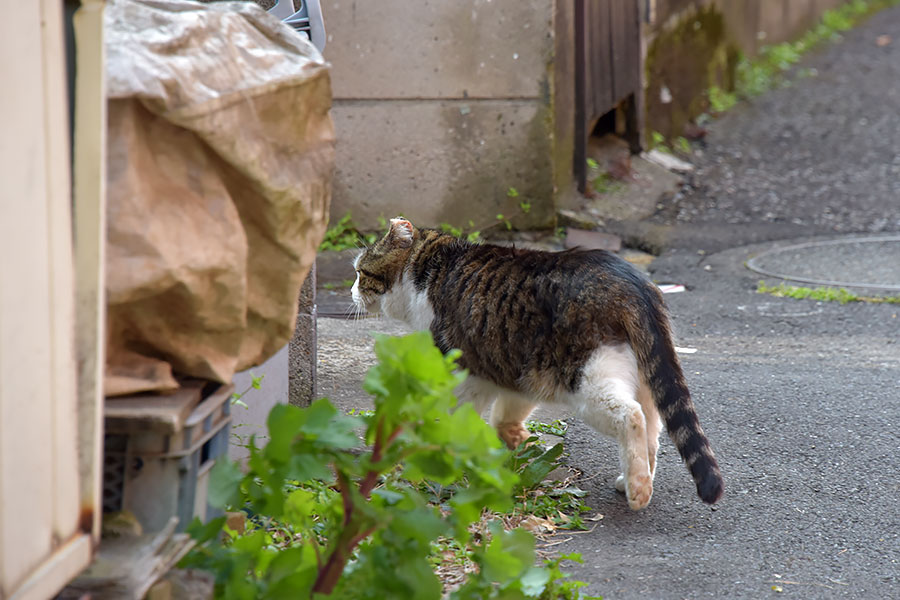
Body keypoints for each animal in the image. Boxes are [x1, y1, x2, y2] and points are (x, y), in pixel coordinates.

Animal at [352, 218, 724, 508]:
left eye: (360, 272)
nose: (352, 293)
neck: (432, 270)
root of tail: (637, 286)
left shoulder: (464, 369)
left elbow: (453, 414)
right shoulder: (512, 369)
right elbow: (504, 415)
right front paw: (517, 440)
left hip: (587, 380)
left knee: (631, 417)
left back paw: (638, 491)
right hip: (644, 376)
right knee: (653, 424)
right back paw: (635, 477)